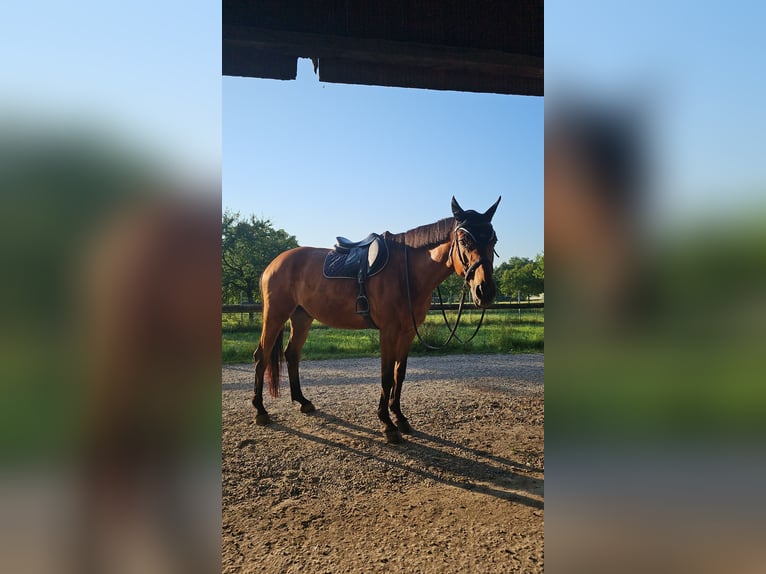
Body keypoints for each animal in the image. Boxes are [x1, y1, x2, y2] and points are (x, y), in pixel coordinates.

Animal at [254, 198, 504, 446]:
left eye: (493, 239)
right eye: (464, 239)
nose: (485, 291)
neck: (407, 273)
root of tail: (274, 263)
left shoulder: (408, 332)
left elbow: (399, 374)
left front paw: (400, 417)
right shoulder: (389, 332)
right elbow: (386, 377)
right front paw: (387, 424)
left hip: (302, 317)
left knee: (292, 354)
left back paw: (302, 401)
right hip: (275, 316)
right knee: (262, 356)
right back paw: (260, 410)